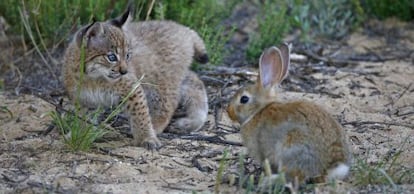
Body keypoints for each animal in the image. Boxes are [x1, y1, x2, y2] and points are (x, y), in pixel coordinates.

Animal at [226, 43, 352, 184]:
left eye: (244, 99)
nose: (228, 111)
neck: (258, 111)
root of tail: (332, 166)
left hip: (292, 148)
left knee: (293, 177)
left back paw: (269, 180)